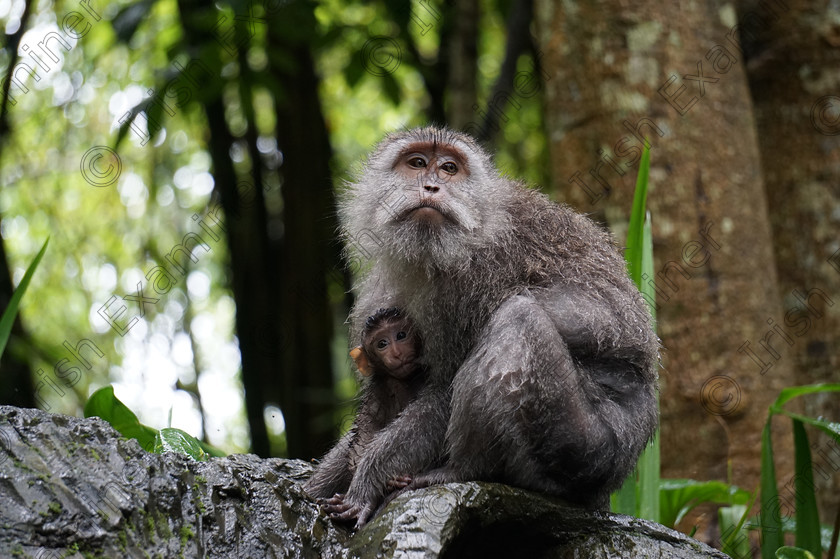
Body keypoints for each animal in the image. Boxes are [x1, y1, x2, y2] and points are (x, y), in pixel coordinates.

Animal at [324, 127, 660, 528]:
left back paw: (463, 470)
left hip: (586, 449)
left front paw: (367, 481)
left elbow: (442, 390)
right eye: (417, 163)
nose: (432, 186)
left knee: (518, 318)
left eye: (450, 168)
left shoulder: (475, 277)